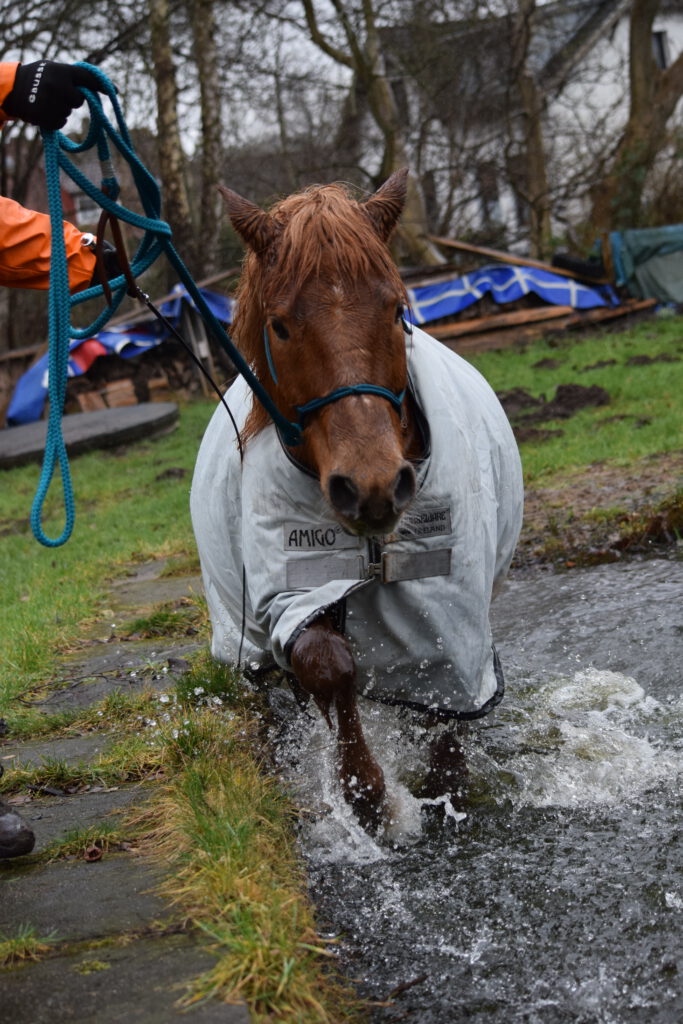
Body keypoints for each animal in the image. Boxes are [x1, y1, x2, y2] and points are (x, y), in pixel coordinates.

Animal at [192, 169, 524, 831]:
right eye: (280, 325)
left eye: (397, 310)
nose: (371, 484)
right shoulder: (293, 589)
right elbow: (328, 663)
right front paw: (367, 793)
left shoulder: (453, 616)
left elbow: (448, 713)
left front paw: (439, 792)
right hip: (240, 631)